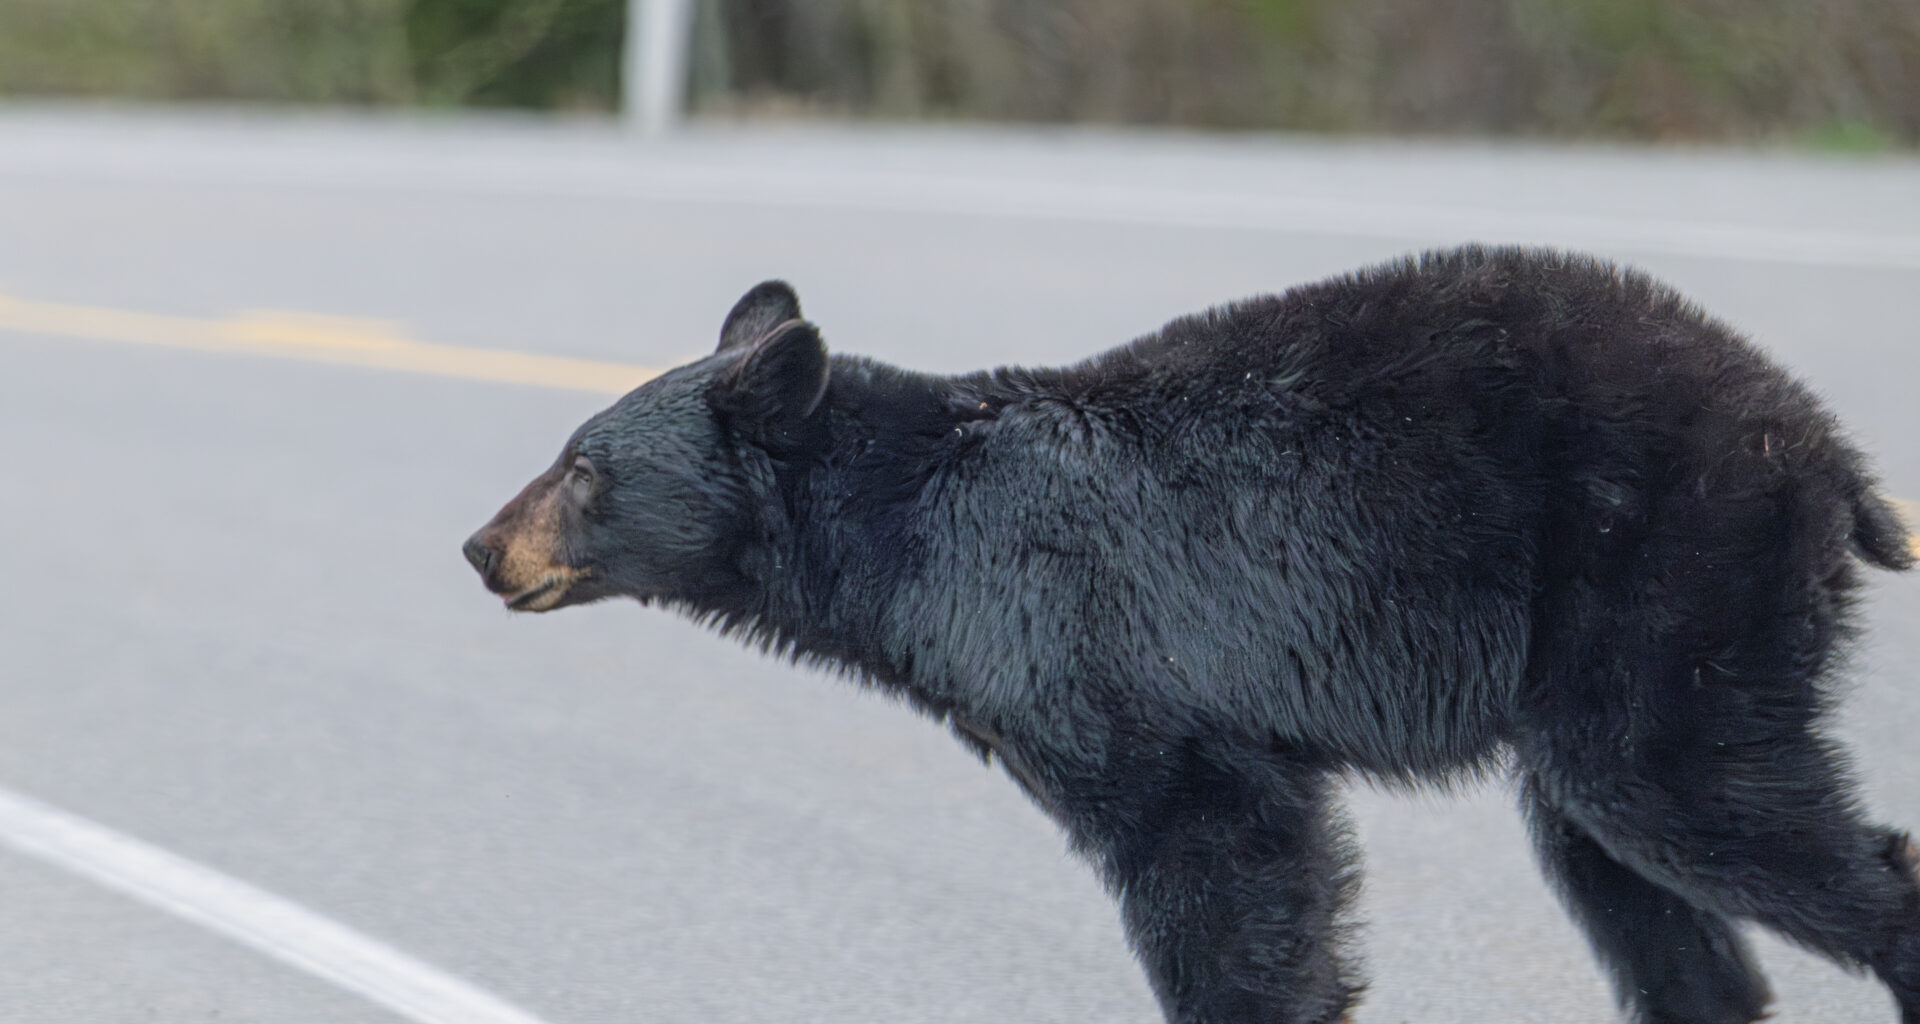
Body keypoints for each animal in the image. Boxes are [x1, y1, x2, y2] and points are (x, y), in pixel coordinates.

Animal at [463, 245, 1920, 1024]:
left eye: (583, 469)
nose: (482, 549)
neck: (909, 529)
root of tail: (1823, 445)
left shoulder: (1090, 654)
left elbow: (1211, 852)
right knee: (1611, 851)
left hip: (1670, 567)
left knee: (1687, 798)